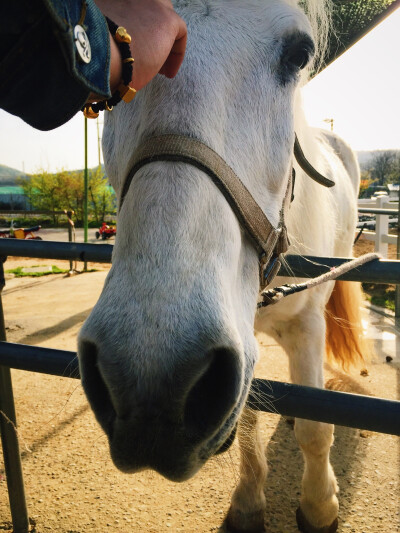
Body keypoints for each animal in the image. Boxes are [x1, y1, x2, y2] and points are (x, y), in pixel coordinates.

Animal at [77, 2, 366, 528]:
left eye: (300, 54)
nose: (151, 387)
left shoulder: (307, 324)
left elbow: (316, 429)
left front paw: (319, 507)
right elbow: (248, 420)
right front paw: (249, 502)